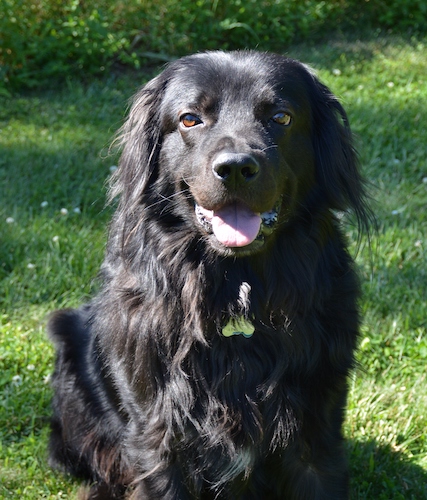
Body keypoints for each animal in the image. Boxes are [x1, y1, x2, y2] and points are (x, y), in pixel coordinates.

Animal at [47, 49, 372, 496]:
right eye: (189, 119)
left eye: (281, 117)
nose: (235, 167)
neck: (235, 290)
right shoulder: (157, 436)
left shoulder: (316, 430)